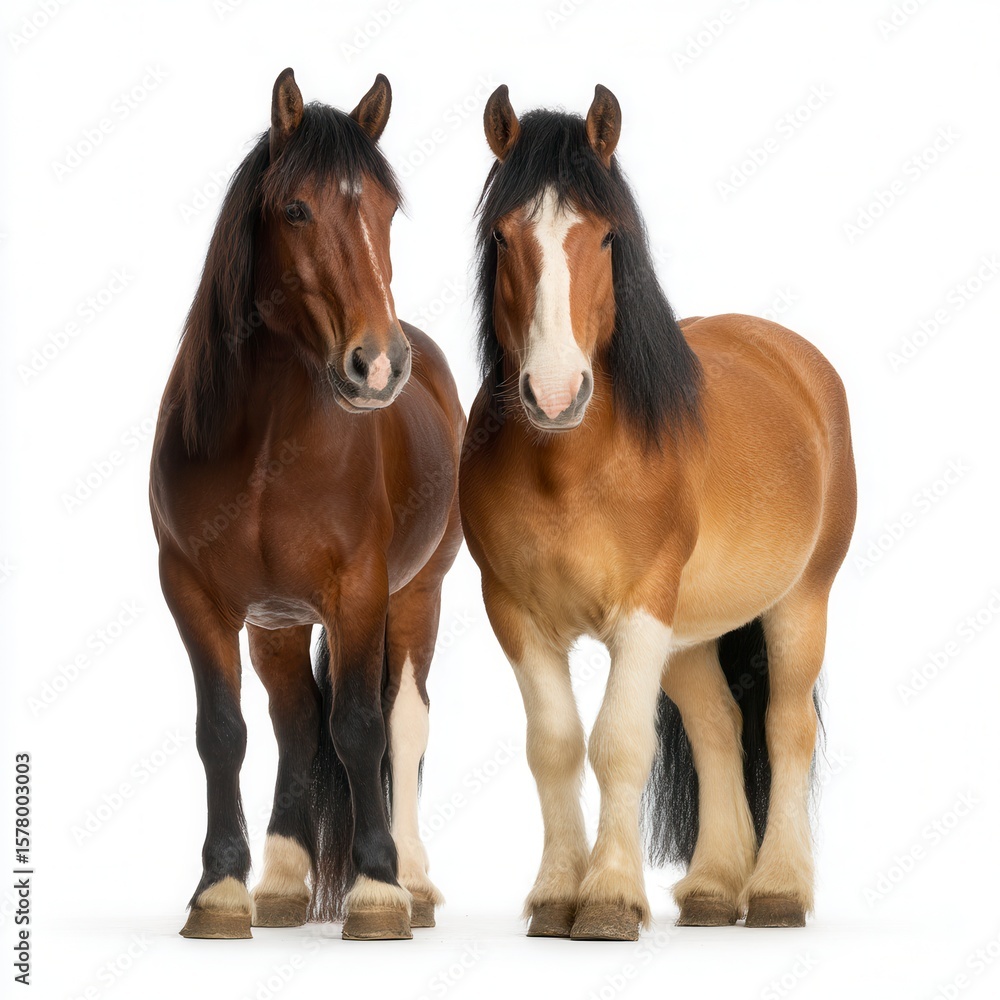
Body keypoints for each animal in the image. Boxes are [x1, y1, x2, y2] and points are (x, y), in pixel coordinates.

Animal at [149, 69, 464, 941]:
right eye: (295, 209)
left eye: (385, 209)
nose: (377, 364)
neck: (267, 448)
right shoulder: (194, 595)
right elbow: (224, 732)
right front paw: (219, 890)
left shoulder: (359, 592)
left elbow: (359, 727)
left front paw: (378, 890)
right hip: (279, 625)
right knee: (294, 719)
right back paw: (285, 883)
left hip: (417, 599)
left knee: (404, 720)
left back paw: (415, 881)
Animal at [459, 84, 857, 941]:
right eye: (504, 236)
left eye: (607, 235)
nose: (554, 392)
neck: (569, 465)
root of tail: (795, 360)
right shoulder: (514, 613)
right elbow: (555, 746)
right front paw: (555, 897)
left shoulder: (642, 610)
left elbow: (618, 743)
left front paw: (608, 899)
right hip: (690, 634)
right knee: (717, 728)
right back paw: (711, 889)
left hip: (800, 603)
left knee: (783, 727)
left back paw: (778, 890)